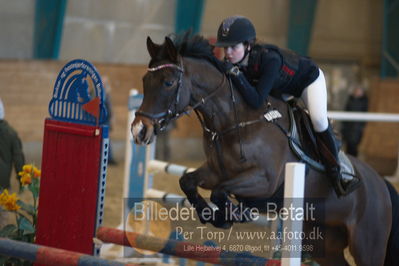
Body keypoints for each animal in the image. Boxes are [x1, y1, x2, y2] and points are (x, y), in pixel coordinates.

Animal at [132, 33, 399, 266]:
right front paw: (212, 215)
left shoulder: (265, 181)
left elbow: (220, 192)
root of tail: (381, 183)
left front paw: (230, 215)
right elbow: (187, 181)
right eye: (144, 81)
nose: (139, 131)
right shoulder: (216, 172)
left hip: (367, 245)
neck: (234, 121)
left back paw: (341, 176)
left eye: (168, 82)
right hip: (325, 242)